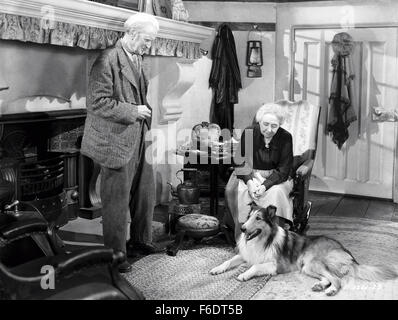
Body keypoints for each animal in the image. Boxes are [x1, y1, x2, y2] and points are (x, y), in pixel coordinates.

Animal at [210, 205, 396, 296]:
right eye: (248, 217)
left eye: (258, 218)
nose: (242, 229)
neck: (262, 240)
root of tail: (347, 253)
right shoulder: (246, 255)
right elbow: (228, 261)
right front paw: (216, 269)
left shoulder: (276, 265)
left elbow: (255, 267)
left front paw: (244, 275)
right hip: (307, 267)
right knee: (328, 277)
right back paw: (320, 286)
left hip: (313, 262)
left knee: (336, 279)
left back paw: (331, 290)